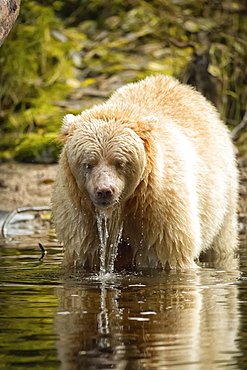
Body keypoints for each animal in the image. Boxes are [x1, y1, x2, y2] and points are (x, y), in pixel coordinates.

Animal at [51, 75, 237, 270]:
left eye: (120, 162)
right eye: (88, 163)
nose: (104, 191)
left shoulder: (162, 209)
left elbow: (169, 255)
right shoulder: (81, 216)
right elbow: (85, 253)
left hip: (223, 193)